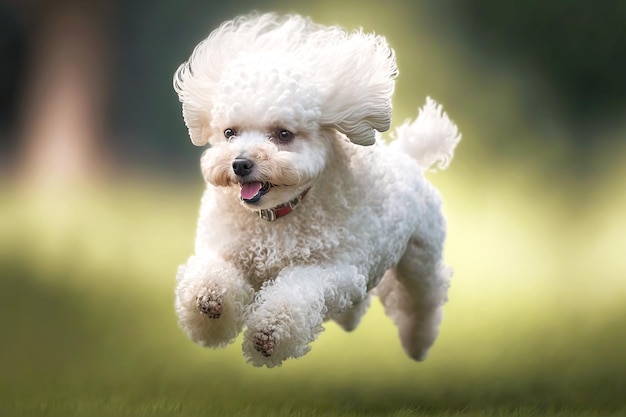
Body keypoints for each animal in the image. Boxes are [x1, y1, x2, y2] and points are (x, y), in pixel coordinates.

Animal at [173, 13, 460, 366]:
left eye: (283, 134)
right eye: (229, 133)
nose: (240, 164)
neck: (276, 217)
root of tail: (409, 156)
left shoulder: (330, 270)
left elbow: (297, 294)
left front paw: (269, 334)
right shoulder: (225, 249)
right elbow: (213, 274)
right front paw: (210, 300)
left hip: (419, 258)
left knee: (421, 300)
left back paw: (417, 343)